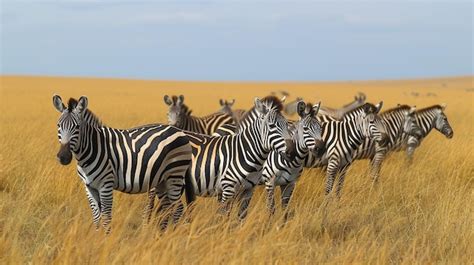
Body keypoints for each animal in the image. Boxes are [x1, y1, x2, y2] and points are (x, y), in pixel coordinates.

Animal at [51, 96, 193, 232]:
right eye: (58, 125)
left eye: (77, 127)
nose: (63, 157)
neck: (92, 148)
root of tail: (179, 131)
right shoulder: (89, 187)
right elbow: (96, 218)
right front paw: (97, 237)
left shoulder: (106, 184)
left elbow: (106, 218)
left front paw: (106, 239)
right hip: (162, 180)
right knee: (168, 208)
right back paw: (163, 236)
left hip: (174, 175)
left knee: (178, 209)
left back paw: (175, 236)